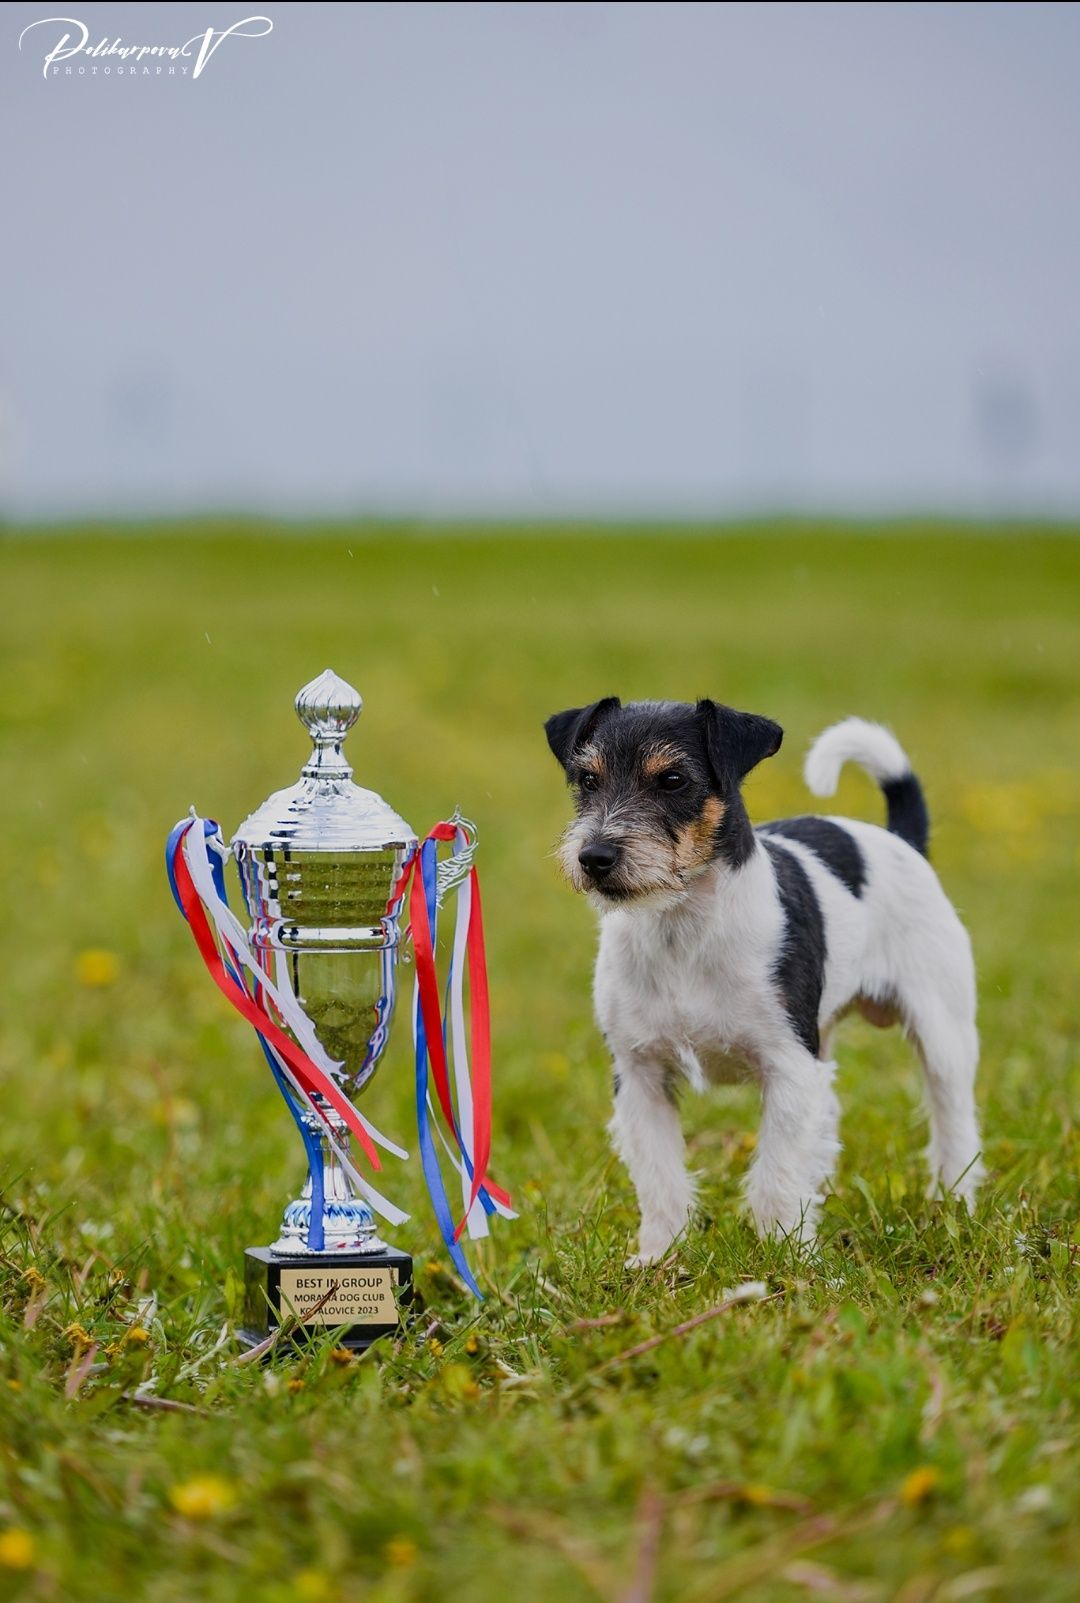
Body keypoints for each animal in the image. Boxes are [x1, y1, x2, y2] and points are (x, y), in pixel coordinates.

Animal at [541, 698, 980, 1263]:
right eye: (588, 780)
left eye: (674, 779)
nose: (594, 857)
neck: (682, 928)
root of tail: (899, 841)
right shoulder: (640, 1076)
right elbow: (660, 1179)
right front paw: (659, 1257)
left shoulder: (789, 1065)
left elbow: (776, 1172)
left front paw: (788, 1257)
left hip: (943, 1032)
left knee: (954, 1119)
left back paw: (955, 1202)